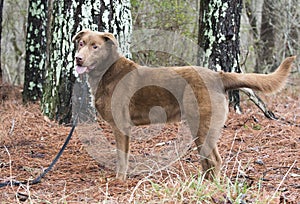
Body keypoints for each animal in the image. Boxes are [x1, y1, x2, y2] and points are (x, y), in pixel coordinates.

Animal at [72, 29, 296, 180]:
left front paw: (120, 180)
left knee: (214, 160)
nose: (78, 59)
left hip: (203, 126)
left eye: (95, 46)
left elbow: (121, 157)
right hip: (199, 128)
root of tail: (218, 76)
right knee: (207, 161)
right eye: (80, 43)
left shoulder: (121, 126)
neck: (106, 72)